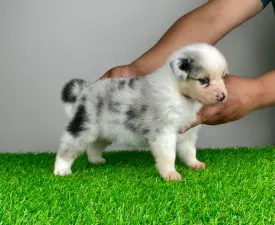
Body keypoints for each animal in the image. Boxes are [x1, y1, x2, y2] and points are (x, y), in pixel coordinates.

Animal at [54, 43, 229, 181]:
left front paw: (194, 164)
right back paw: (61, 170)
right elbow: (168, 155)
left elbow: (189, 151)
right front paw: (170, 174)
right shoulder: (164, 133)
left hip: (104, 132)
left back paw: (96, 160)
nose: (223, 97)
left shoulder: (187, 131)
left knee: (94, 146)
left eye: (223, 77)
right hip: (84, 128)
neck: (179, 92)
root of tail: (85, 90)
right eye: (203, 80)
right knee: (67, 148)